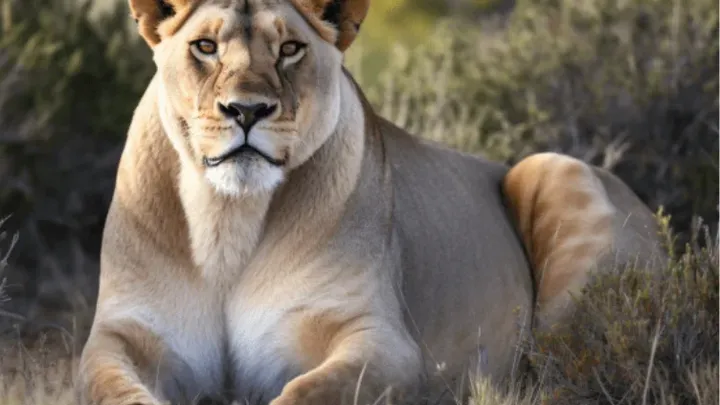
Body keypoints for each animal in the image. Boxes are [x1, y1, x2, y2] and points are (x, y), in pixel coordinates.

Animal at [76, 0, 667, 404]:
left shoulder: (385, 342)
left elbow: (307, 392)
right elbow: (114, 391)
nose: (247, 110)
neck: (229, 220)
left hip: (555, 171)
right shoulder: (118, 337)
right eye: (205, 47)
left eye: (290, 49)